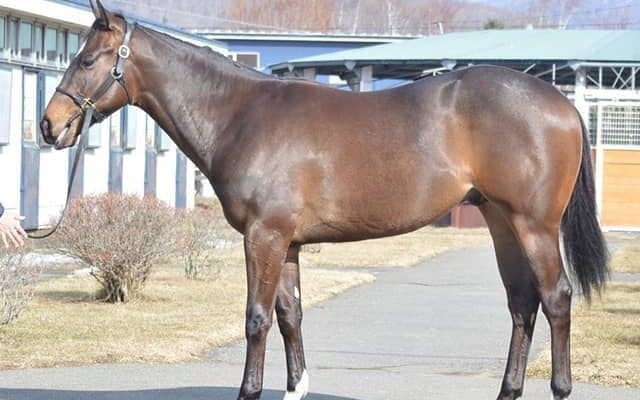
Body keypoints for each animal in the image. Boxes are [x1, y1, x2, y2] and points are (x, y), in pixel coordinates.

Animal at [40, 1, 608, 399]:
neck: (241, 114)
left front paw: (248, 391)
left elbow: (256, 317)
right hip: (499, 220)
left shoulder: (264, 236)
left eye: (86, 59)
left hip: (534, 225)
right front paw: (295, 387)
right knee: (522, 303)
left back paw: (560, 388)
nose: (49, 126)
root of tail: (561, 103)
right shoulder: (286, 242)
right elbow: (290, 315)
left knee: (556, 299)